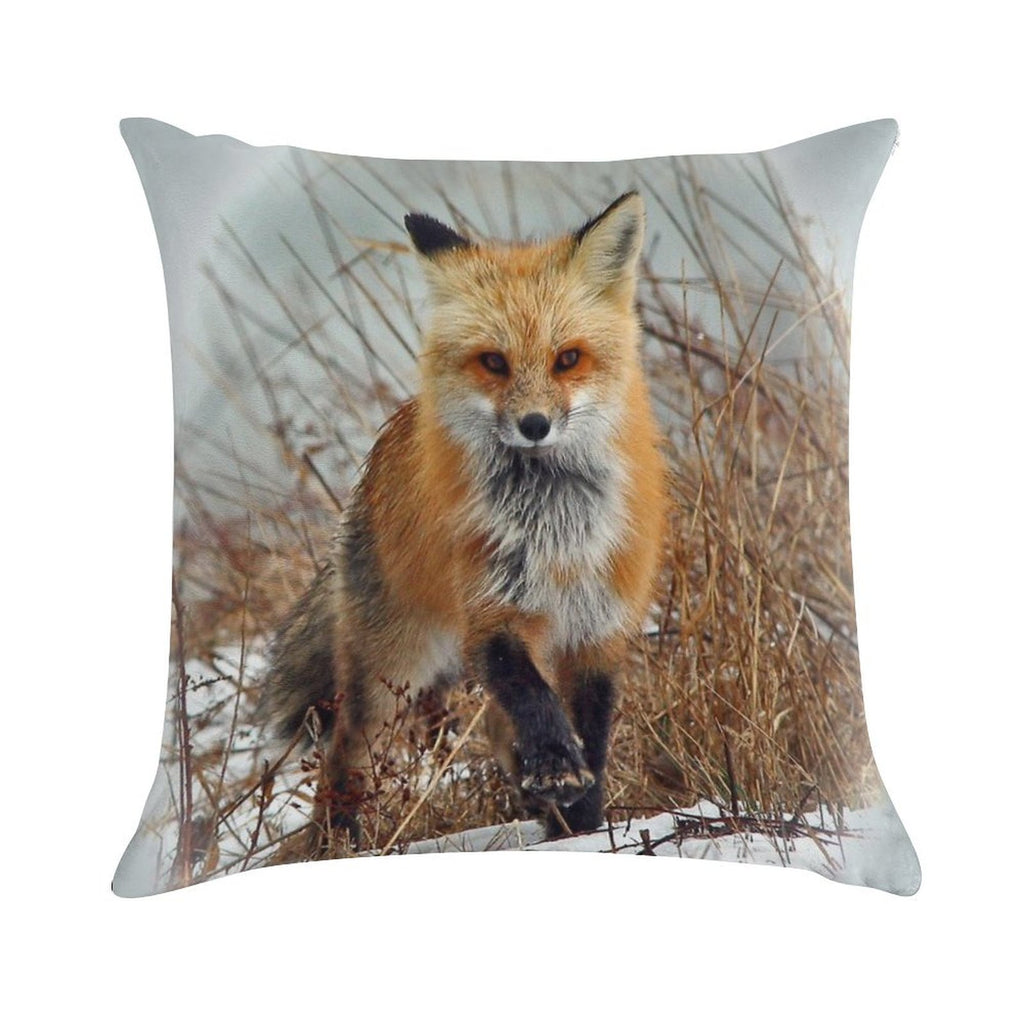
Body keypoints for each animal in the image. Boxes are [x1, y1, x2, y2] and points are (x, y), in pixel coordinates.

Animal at [263, 190, 668, 850]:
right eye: (494, 363)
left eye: (568, 359)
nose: (535, 424)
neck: (554, 528)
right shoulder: (492, 610)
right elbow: (533, 700)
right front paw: (559, 773)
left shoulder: (601, 625)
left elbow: (592, 732)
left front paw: (582, 822)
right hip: (393, 669)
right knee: (346, 755)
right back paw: (337, 841)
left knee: (502, 735)